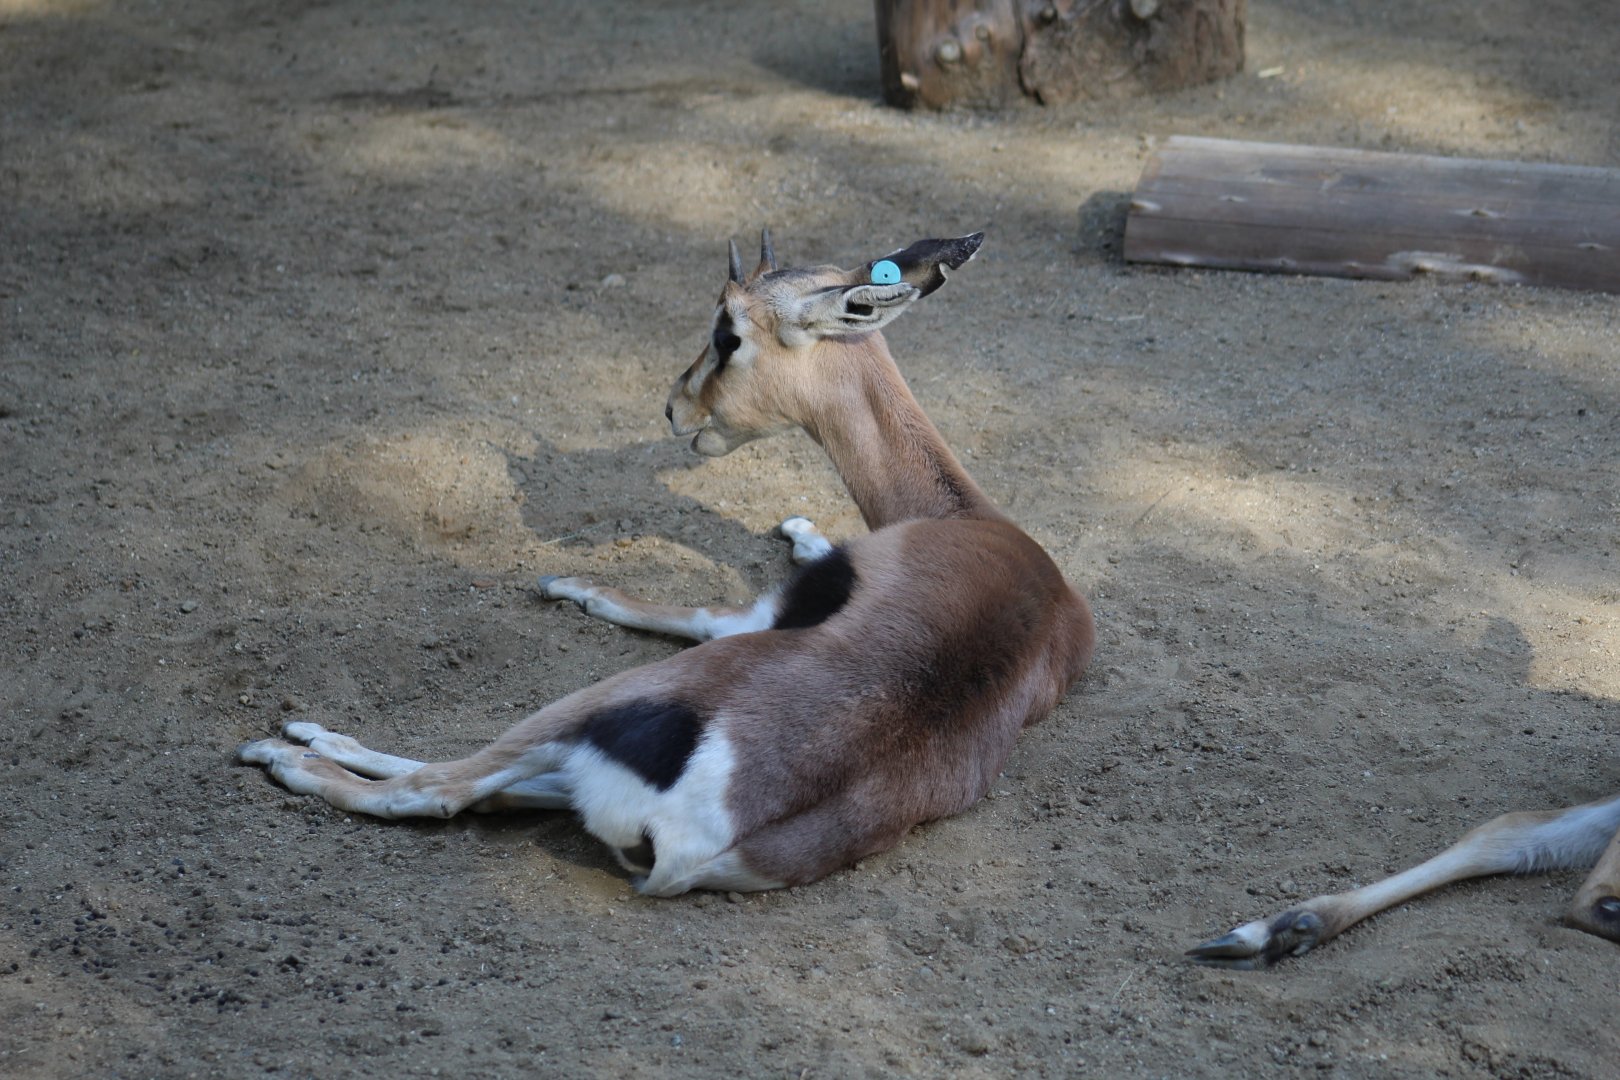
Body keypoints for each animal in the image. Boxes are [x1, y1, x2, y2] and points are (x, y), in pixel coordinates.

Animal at [237, 229, 1096, 897]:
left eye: (727, 331)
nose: (675, 405)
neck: (964, 521)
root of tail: (692, 840)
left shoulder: (754, 617)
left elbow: (685, 608)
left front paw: (570, 582)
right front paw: (800, 523)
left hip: (592, 701)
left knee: (439, 790)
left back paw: (294, 746)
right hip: (570, 767)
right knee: (486, 794)